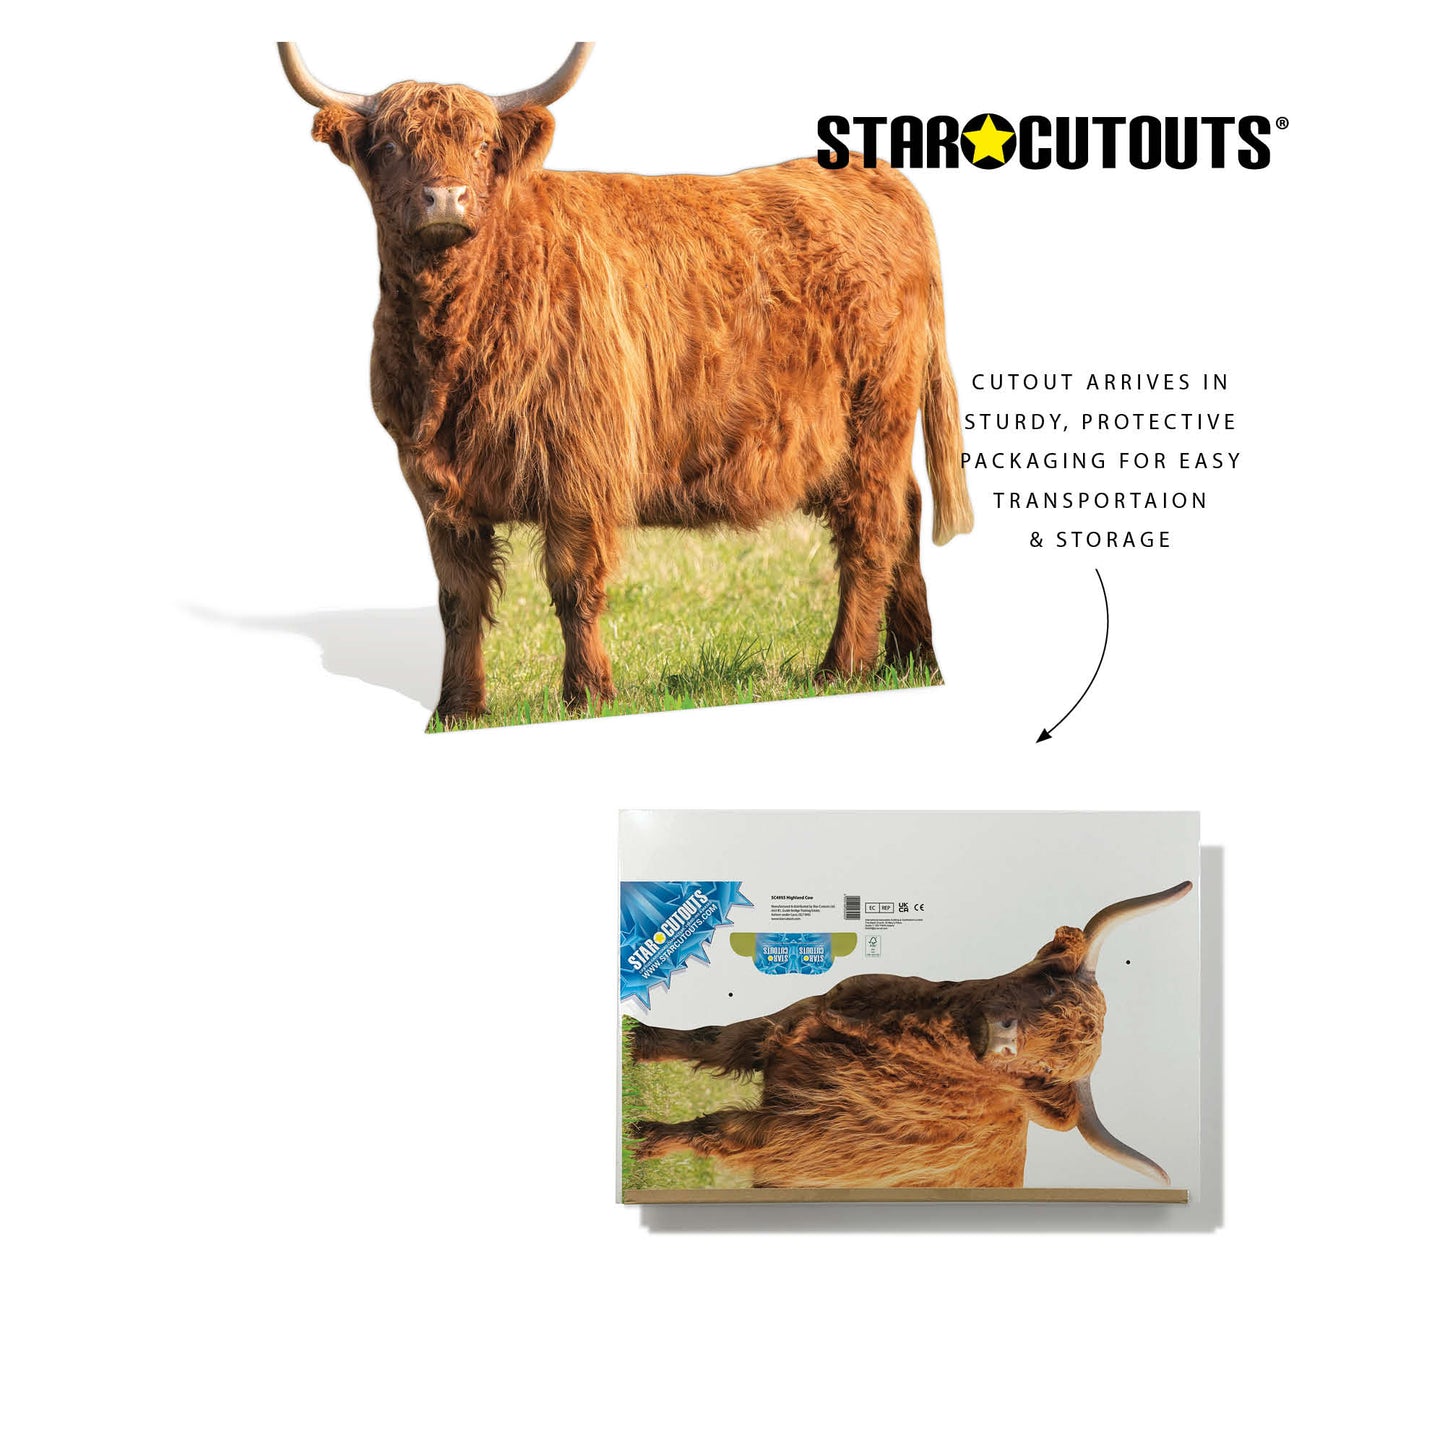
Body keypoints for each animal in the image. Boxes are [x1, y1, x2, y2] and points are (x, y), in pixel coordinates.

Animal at [278, 42, 973, 723]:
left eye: (481, 144)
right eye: (392, 145)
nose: (446, 199)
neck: (454, 338)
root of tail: (876, 173)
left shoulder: (580, 463)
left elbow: (573, 584)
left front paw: (587, 695)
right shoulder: (433, 482)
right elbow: (459, 598)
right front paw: (458, 709)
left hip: (874, 421)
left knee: (871, 531)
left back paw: (842, 669)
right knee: (908, 514)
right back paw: (912, 661)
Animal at [627, 882, 1191, 1188]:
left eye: (1047, 1068)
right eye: (1050, 984)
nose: (1003, 1036)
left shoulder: (794, 1136)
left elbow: (714, 1129)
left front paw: (644, 1141)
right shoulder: (789, 1021)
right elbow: (712, 1038)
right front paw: (638, 1041)